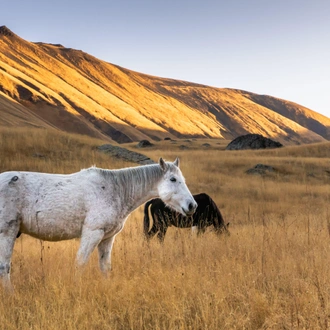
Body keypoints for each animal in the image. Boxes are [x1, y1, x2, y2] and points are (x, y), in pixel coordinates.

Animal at [0, 159, 196, 290]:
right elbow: (80, 263)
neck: (114, 189)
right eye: (172, 179)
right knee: (4, 267)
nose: (192, 206)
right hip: (7, 232)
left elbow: (105, 267)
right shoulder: (93, 233)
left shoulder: (107, 238)